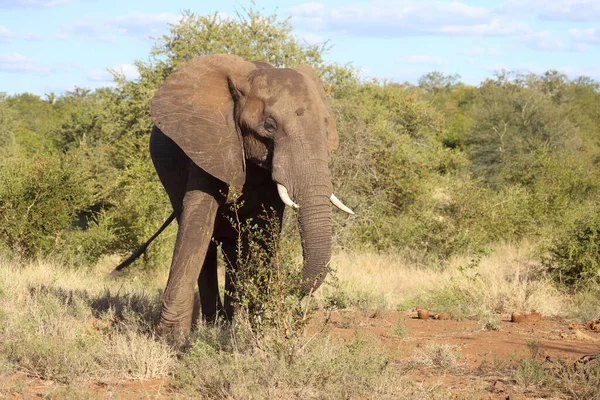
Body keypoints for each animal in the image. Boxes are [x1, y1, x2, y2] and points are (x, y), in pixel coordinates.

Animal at [115, 54, 354, 334]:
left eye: (326, 126)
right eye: (269, 126)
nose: (289, 281)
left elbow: (266, 227)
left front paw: (258, 328)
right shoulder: (208, 142)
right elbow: (197, 224)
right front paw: (170, 338)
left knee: (232, 244)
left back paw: (228, 323)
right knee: (206, 242)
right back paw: (213, 324)